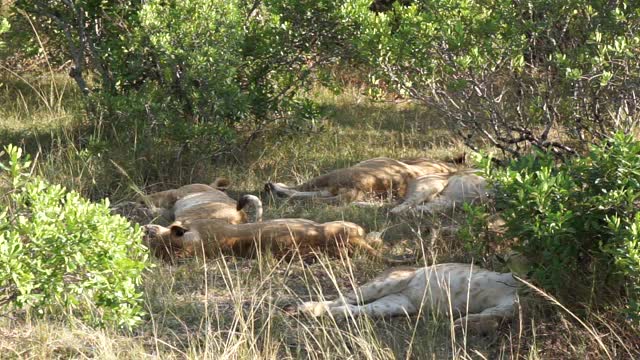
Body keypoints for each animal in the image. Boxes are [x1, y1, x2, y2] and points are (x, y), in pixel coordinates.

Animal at [300, 262, 520, 334]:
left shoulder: (507, 306)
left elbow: (496, 316)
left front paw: (465, 324)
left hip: (395, 304)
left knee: (355, 309)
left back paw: (333, 314)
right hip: (389, 282)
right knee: (343, 298)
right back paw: (310, 307)